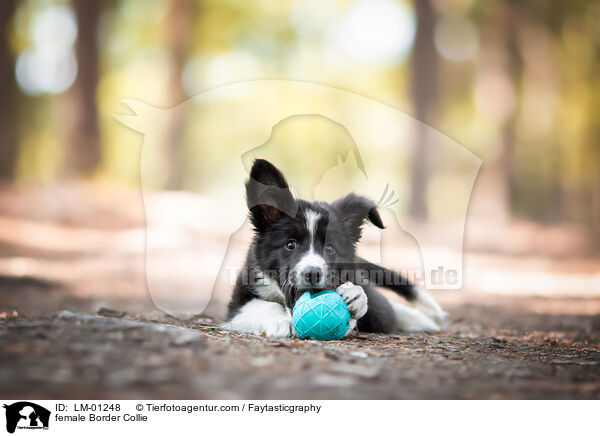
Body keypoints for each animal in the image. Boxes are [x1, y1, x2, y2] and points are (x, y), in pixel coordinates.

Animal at [225, 159, 446, 338]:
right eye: (290, 244)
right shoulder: (236, 306)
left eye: (330, 248)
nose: (312, 273)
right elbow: (263, 306)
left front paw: (356, 297)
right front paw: (281, 322)